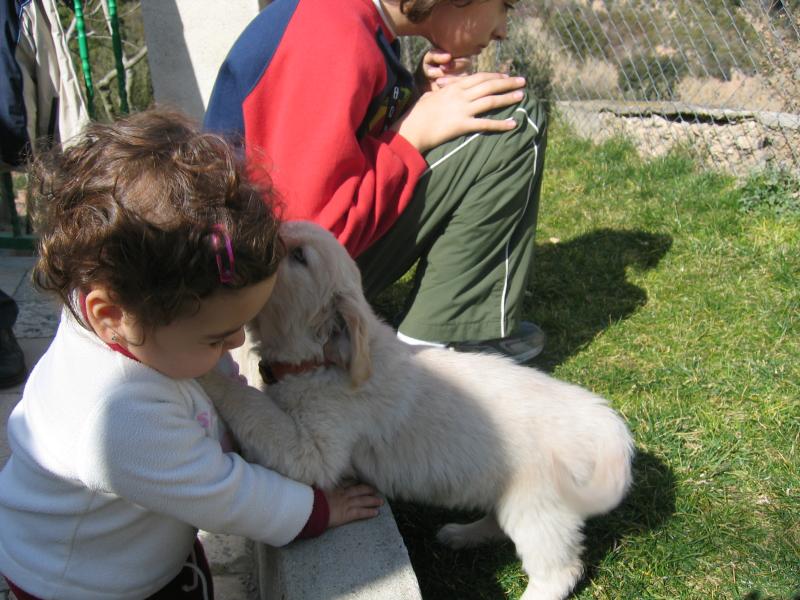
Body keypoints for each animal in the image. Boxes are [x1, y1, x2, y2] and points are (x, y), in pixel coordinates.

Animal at [203, 220, 636, 600]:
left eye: (297, 256)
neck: (320, 362)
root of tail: (607, 425)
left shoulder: (316, 453)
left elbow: (256, 410)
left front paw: (207, 374)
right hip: (511, 490)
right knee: (499, 523)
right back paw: (462, 534)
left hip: (540, 506)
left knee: (559, 570)